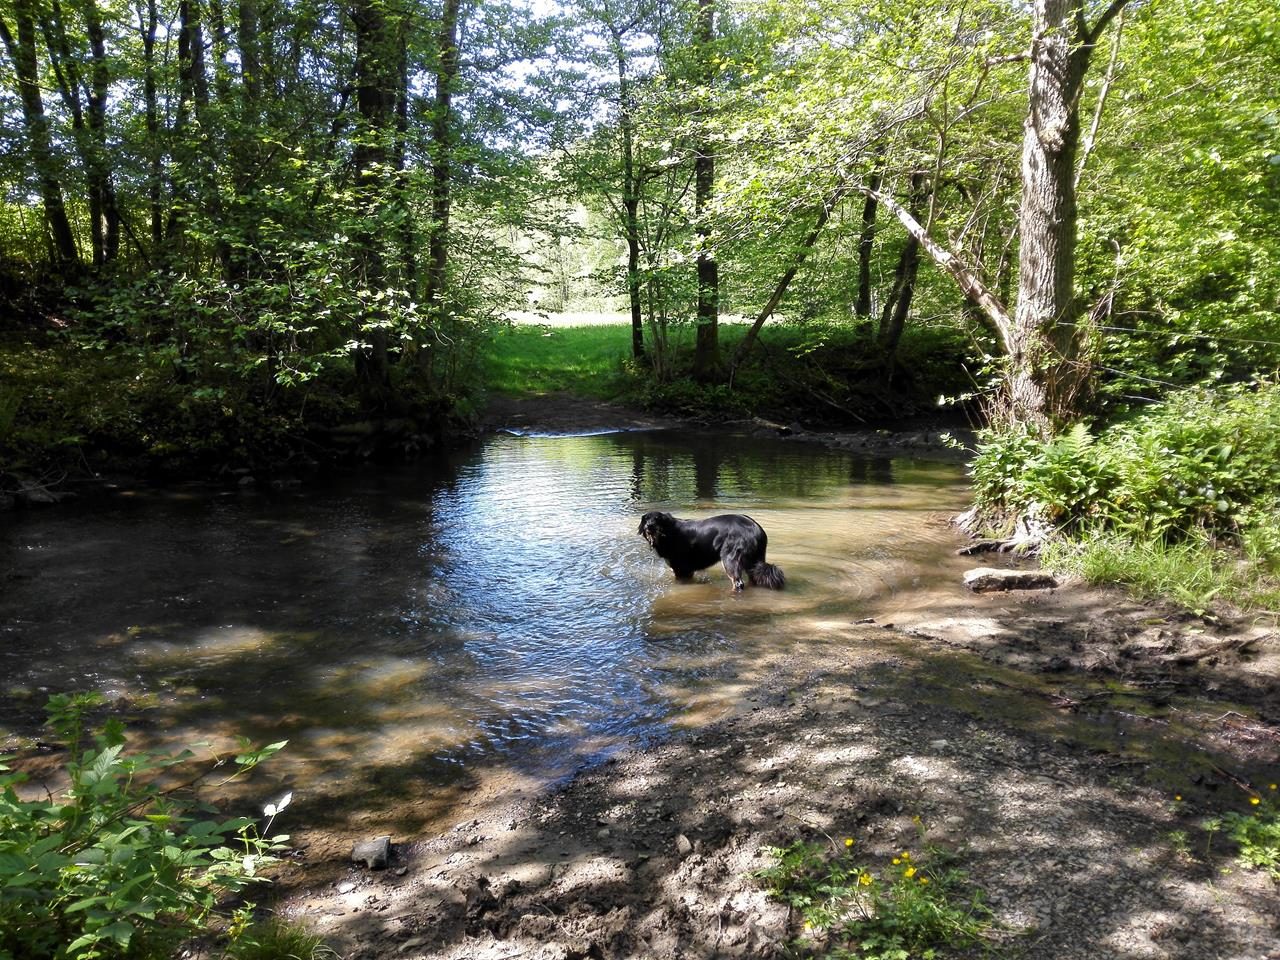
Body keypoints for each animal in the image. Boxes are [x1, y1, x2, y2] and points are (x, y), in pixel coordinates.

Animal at [637, 512, 783, 593]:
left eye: (657, 519)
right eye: (646, 519)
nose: (649, 526)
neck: (668, 533)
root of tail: (757, 528)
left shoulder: (681, 569)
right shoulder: (687, 571)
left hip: (730, 559)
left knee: (738, 583)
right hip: (752, 562)